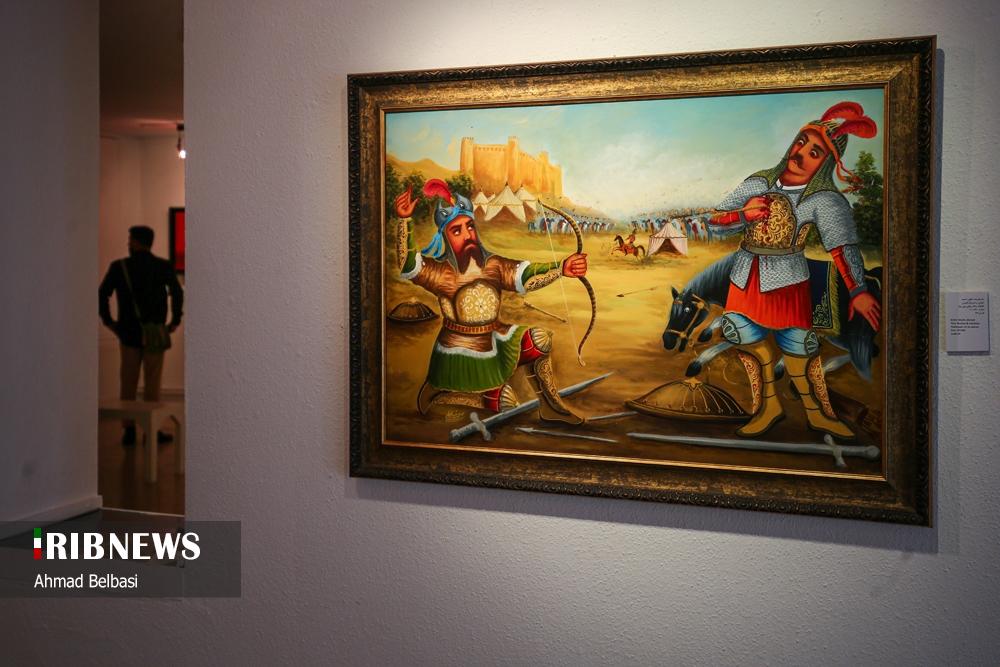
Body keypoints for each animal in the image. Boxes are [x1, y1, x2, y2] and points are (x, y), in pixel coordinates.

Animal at [662, 253, 882, 380]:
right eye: (672, 311)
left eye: (688, 311)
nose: (667, 340)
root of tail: (870, 278)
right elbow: (720, 322)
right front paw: (706, 333)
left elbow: (728, 339)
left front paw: (696, 363)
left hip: (846, 336)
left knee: (867, 355)